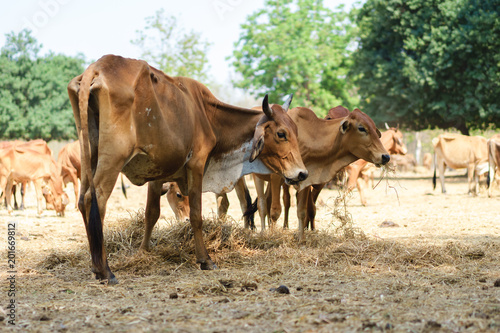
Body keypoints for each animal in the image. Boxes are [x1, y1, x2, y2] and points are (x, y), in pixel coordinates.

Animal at [68, 54, 306, 282]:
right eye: (281, 133)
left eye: (296, 130)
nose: (302, 173)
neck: (208, 115)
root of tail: (96, 68)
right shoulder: (197, 165)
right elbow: (196, 215)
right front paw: (205, 259)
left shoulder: (158, 173)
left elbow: (151, 214)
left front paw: (144, 251)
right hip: (113, 157)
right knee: (95, 199)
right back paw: (105, 270)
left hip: (89, 154)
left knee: (82, 200)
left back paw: (95, 267)